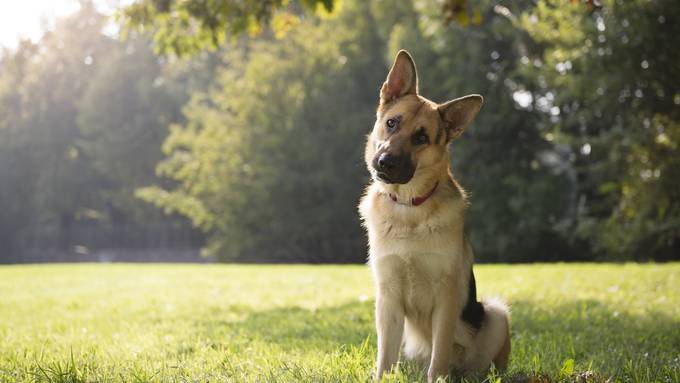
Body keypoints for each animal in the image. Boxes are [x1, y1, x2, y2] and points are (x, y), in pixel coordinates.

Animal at [358, 50, 512, 380]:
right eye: (392, 123)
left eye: (421, 138)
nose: (385, 162)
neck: (409, 208)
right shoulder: (387, 299)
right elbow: (384, 358)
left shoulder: (446, 297)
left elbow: (439, 353)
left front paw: (437, 378)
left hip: (495, 314)